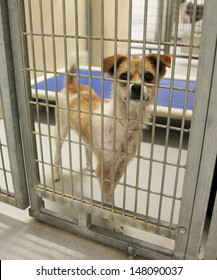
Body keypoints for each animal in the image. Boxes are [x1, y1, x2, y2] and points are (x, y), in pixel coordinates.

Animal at [53, 52, 171, 232]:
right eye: (123, 76)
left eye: (149, 77)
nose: (136, 87)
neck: (124, 124)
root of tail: (73, 84)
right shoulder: (107, 169)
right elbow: (108, 197)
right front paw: (111, 222)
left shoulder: (120, 168)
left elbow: (109, 195)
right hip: (61, 131)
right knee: (57, 154)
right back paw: (56, 174)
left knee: (87, 148)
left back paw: (89, 166)